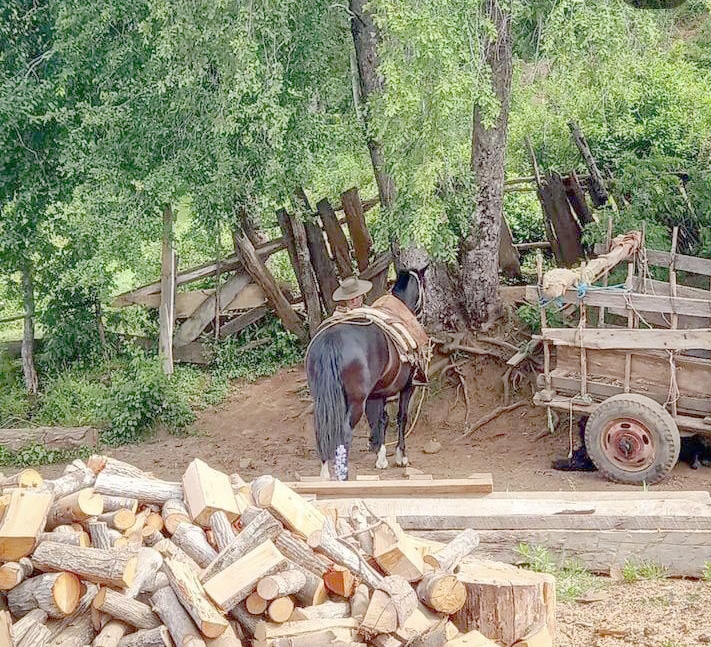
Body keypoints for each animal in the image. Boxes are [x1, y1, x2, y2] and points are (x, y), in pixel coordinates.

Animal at [304, 268, 426, 480]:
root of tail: (331, 339)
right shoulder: (407, 387)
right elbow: (400, 417)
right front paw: (400, 456)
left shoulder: (378, 393)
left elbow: (380, 419)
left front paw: (380, 455)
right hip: (355, 402)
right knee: (344, 434)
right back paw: (343, 475)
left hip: (322, 398)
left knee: (322, 429)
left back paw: (325, 474)